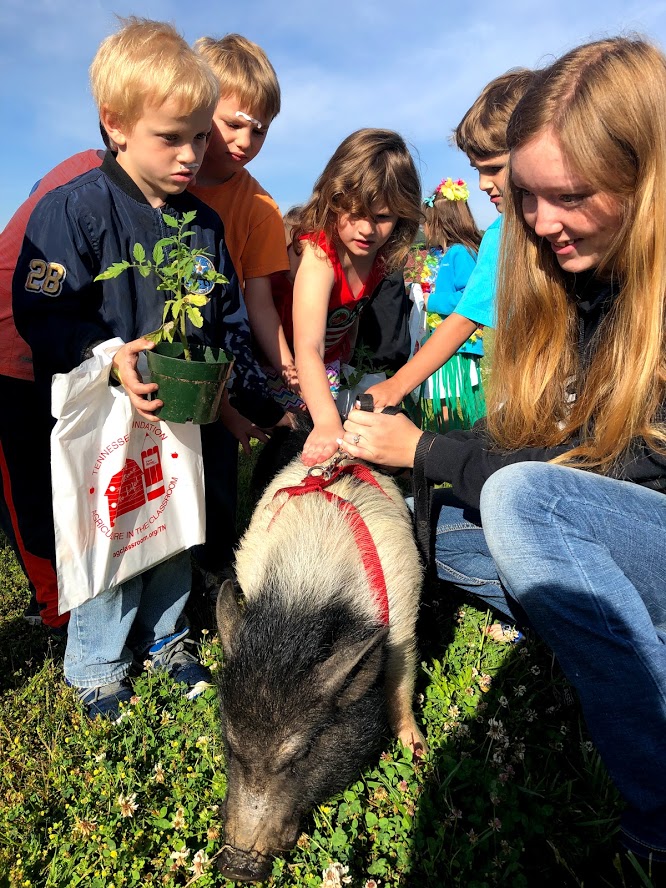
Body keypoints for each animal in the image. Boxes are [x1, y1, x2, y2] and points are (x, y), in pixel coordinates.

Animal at [214, 454, 420, 884]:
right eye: (230, 742)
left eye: (303, 752)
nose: (237, 867)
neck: (304, 596)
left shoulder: (405, 608)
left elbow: (401, 683)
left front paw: (417, 751)